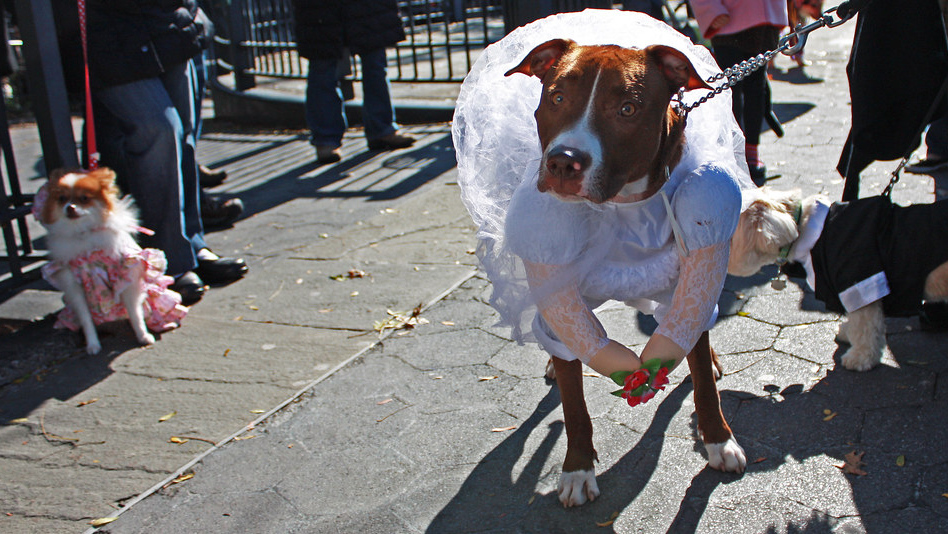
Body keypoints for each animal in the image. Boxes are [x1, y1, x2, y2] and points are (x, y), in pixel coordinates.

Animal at [36, 169, 187, 356]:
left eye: (84, 198)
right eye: (62, 198)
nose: (70, 207)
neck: (84, 234)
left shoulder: (128, 280)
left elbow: (135, 313)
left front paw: (143, 335)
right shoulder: (75, 288)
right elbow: (86, 319)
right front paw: (92, 344)